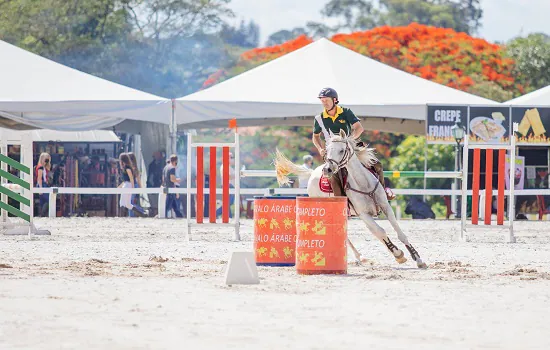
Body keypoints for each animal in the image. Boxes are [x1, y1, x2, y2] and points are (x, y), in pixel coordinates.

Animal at [276, 130, 432, 270]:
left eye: (341, 150)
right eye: (327, 150)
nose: (327, 170)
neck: (363, 183)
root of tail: (312, 173)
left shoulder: (385, 207)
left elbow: (399, 233)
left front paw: (418, 259)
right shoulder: (364, 214)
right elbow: (381, 232)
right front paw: (398, 254)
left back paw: (359, 257)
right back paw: (359, 257)